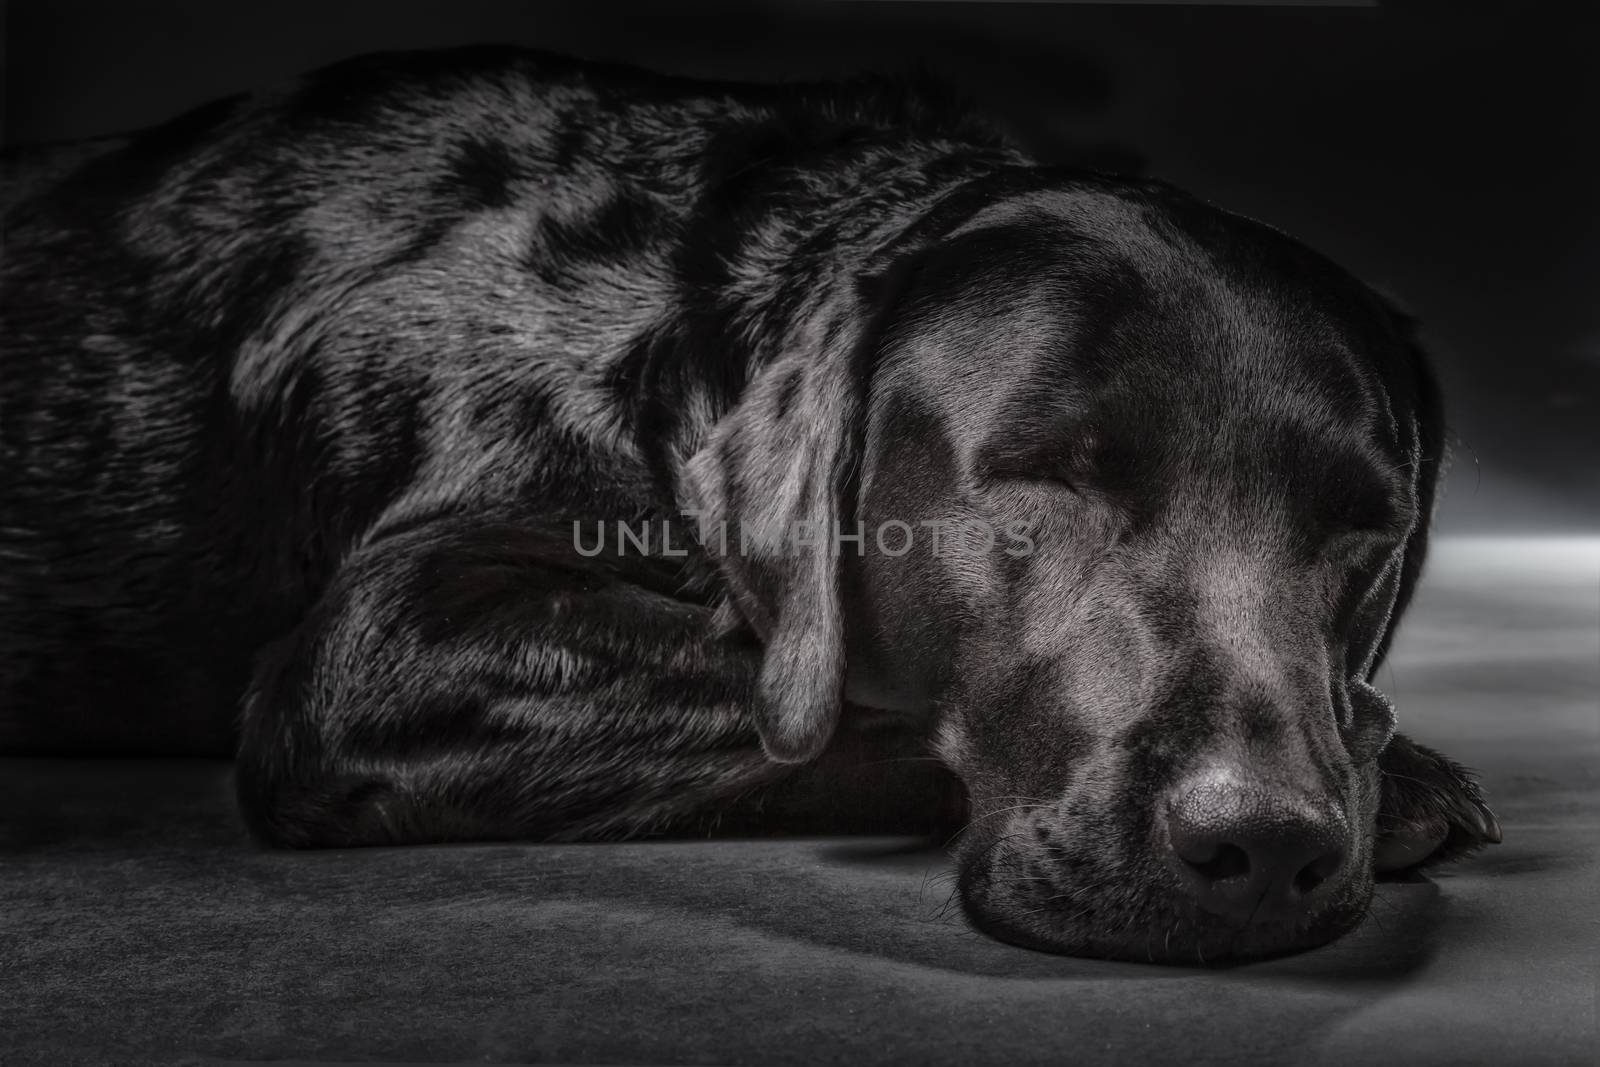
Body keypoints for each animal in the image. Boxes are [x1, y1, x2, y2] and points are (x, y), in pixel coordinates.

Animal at [0, 47, 1497, 966]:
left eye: (1365, 531)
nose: (1268, 842)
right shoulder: (382, 646)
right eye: (1042, 476)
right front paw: (1403, 774)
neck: (672, 309)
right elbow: (832, 708)